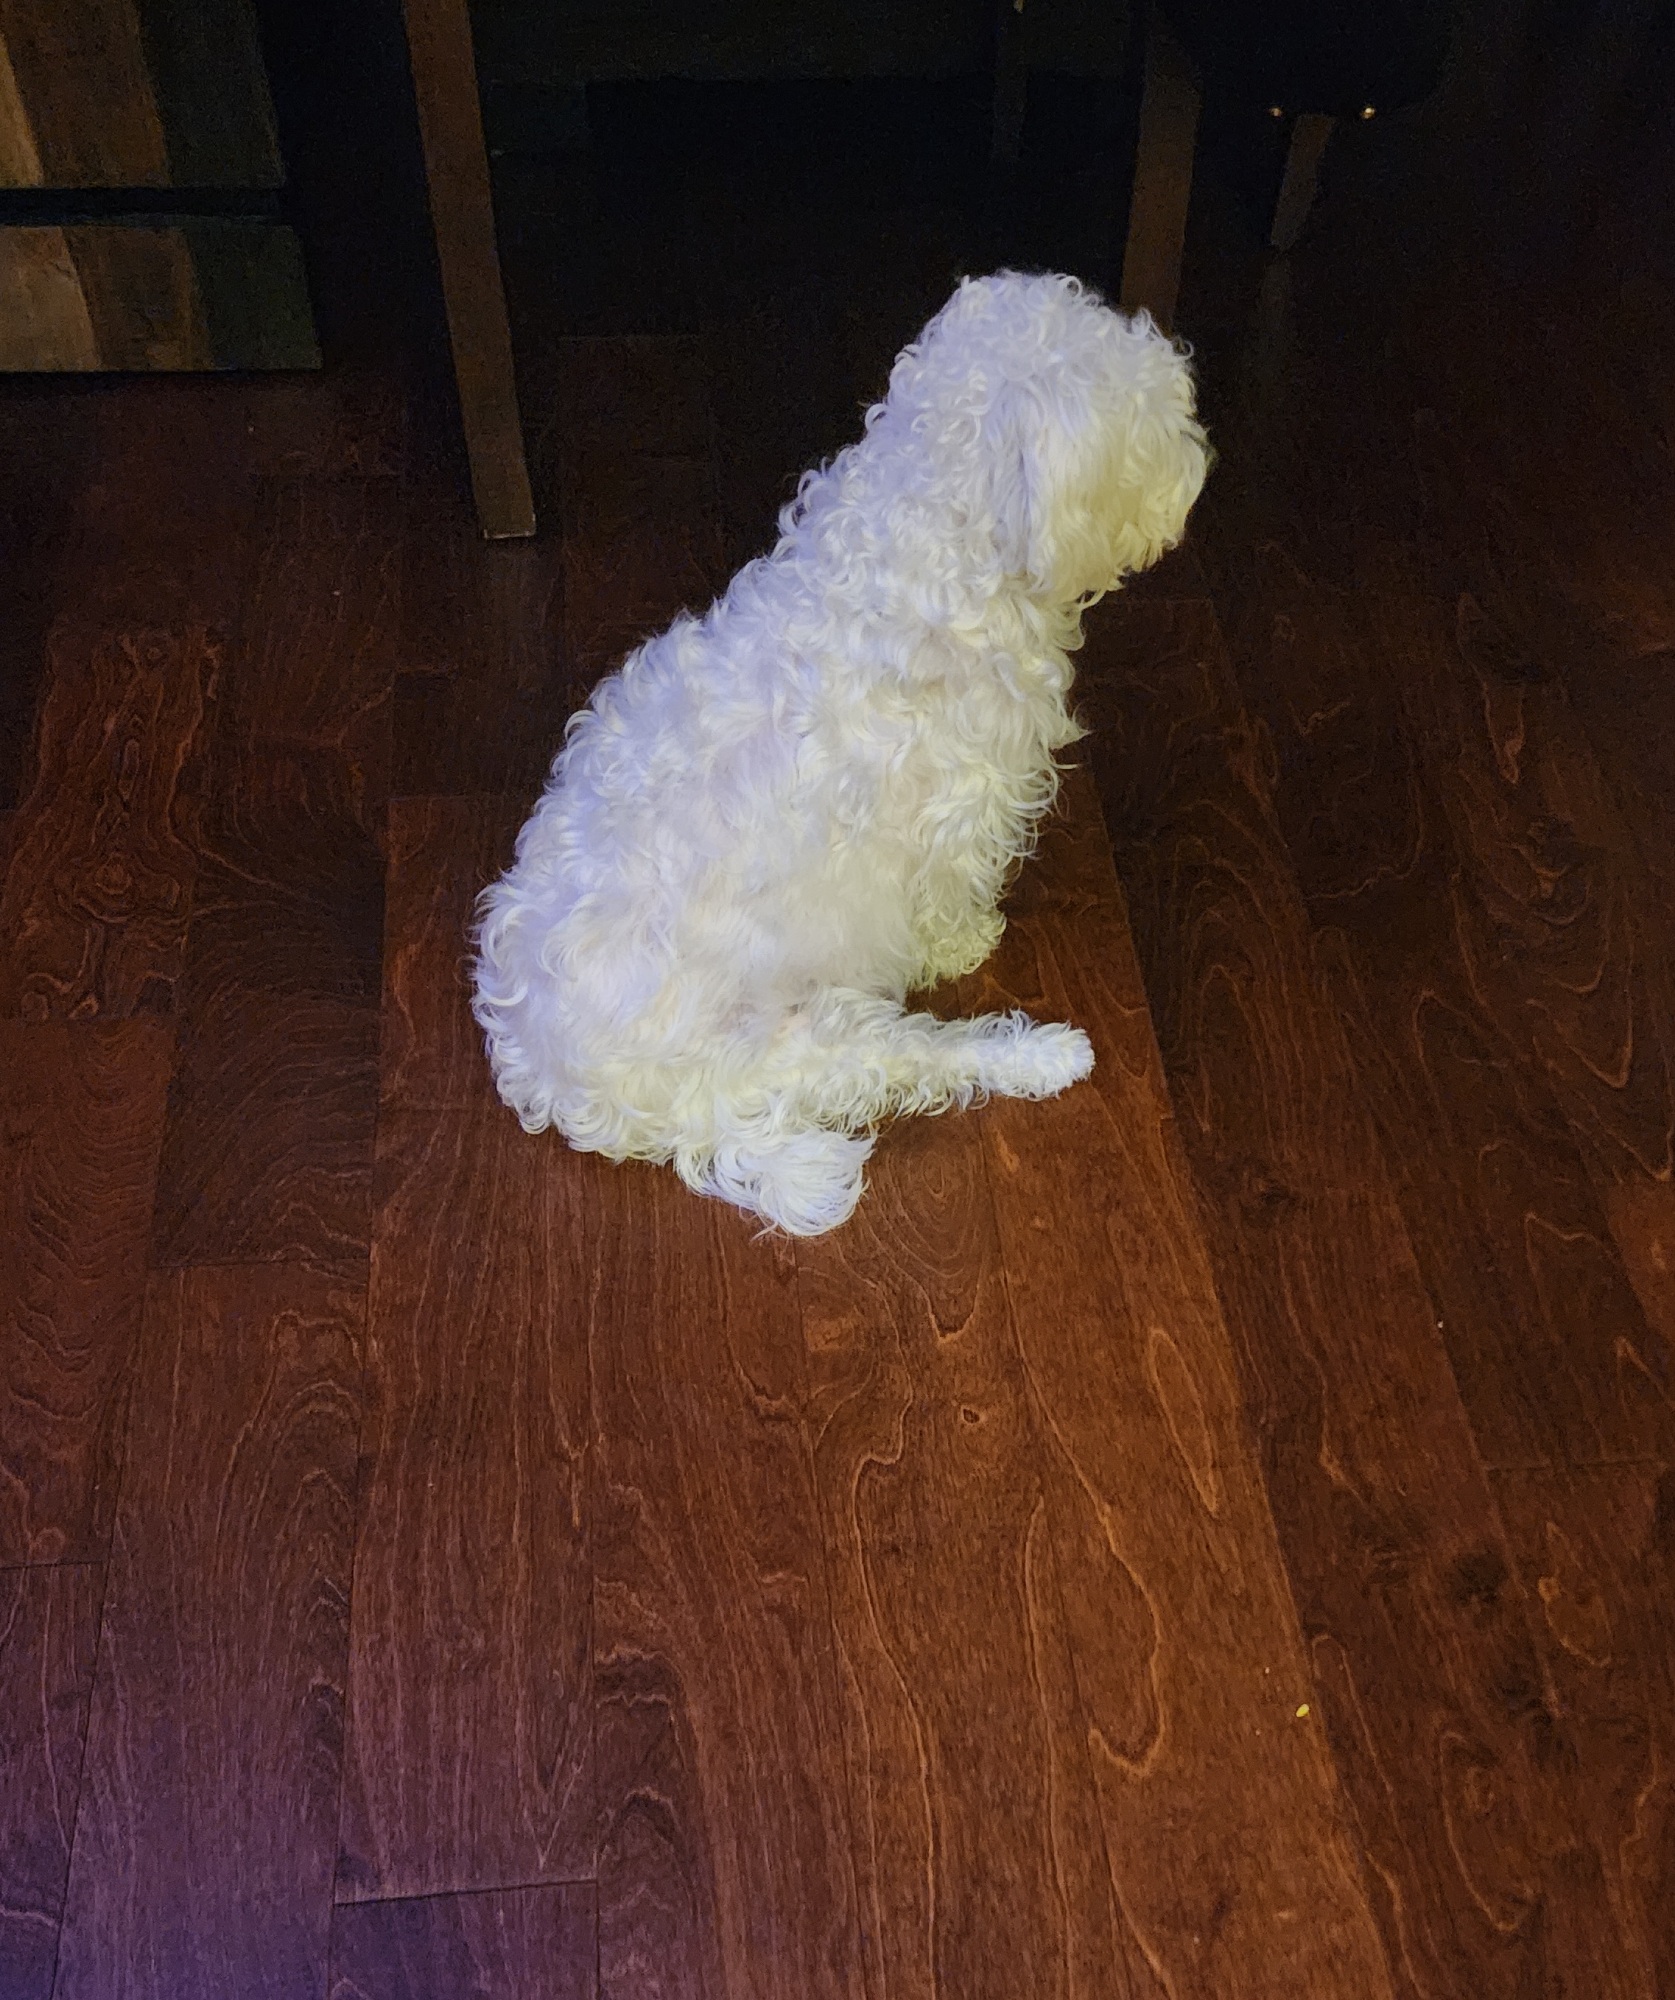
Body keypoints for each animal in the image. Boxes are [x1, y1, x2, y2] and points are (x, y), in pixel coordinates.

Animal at [472, 271, 1209, 1235]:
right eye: (1151, 414)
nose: (1201, 460)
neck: (935, 534)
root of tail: (563, 1091)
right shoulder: (966, 810)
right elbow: (948, 901)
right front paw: (966, 944)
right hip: (810, 1036)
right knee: (931, 1062)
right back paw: (1050, 1055)